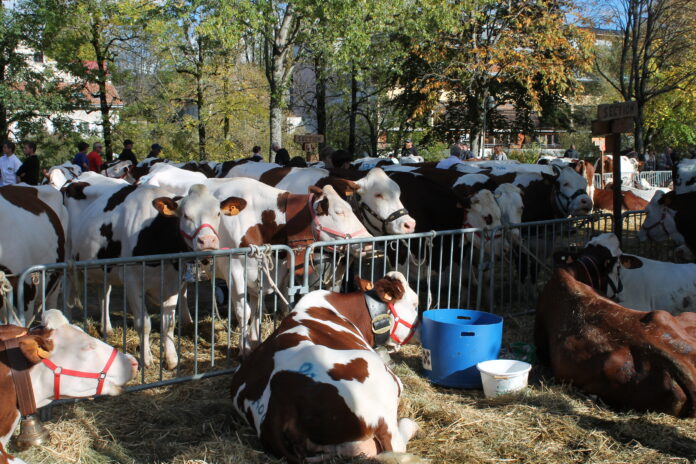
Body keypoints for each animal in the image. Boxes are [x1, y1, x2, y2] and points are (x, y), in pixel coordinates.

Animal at [65, 182, 239, 368]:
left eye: (218, 213)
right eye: (185, 215)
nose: (207, 241)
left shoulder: (173, 282)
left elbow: (168, 324)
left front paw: (171, 359)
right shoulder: (132, 280)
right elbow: (144, 324)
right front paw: (147, 359)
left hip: (104, 266)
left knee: (104, 292)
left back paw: (107, 329)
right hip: (67, 261)